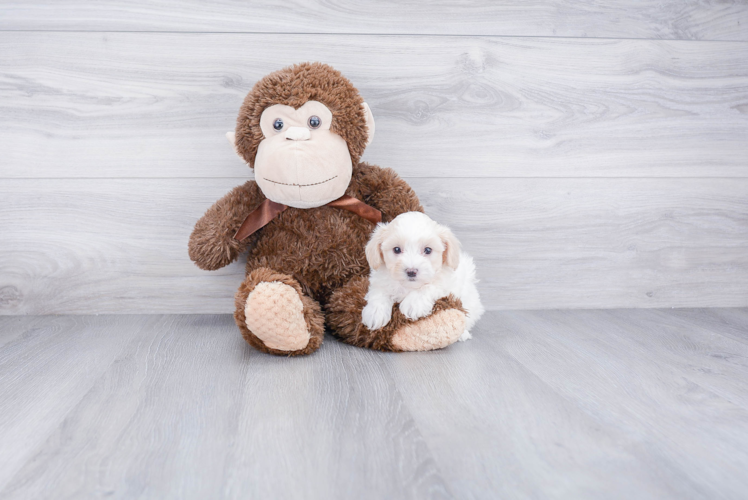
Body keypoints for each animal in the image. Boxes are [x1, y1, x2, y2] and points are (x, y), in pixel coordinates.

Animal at [362, 211, 486, 340]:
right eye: (396, 249)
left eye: (427, 250)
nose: (411, 271)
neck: (409, 286)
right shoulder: (380, 280)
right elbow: (379, 292)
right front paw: (375, 312)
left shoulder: (446, 282)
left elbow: (430, 285)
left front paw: (413, 303)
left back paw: (463, 333)